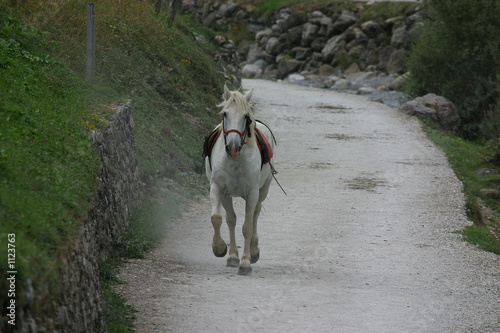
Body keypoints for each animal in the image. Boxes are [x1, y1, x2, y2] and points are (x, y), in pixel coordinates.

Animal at [205, 83, 276, 274]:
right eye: (225, 114)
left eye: (246, 117)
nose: (233, 147)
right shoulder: (217, 189)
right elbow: (217, 218)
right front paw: (220, 249)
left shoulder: (252, 194)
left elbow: (248, 226)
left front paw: (245, 262)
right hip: (228, 196)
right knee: (231, 220)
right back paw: (232, 256)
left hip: (263, 191)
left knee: (255, 215)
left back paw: (253, 250)